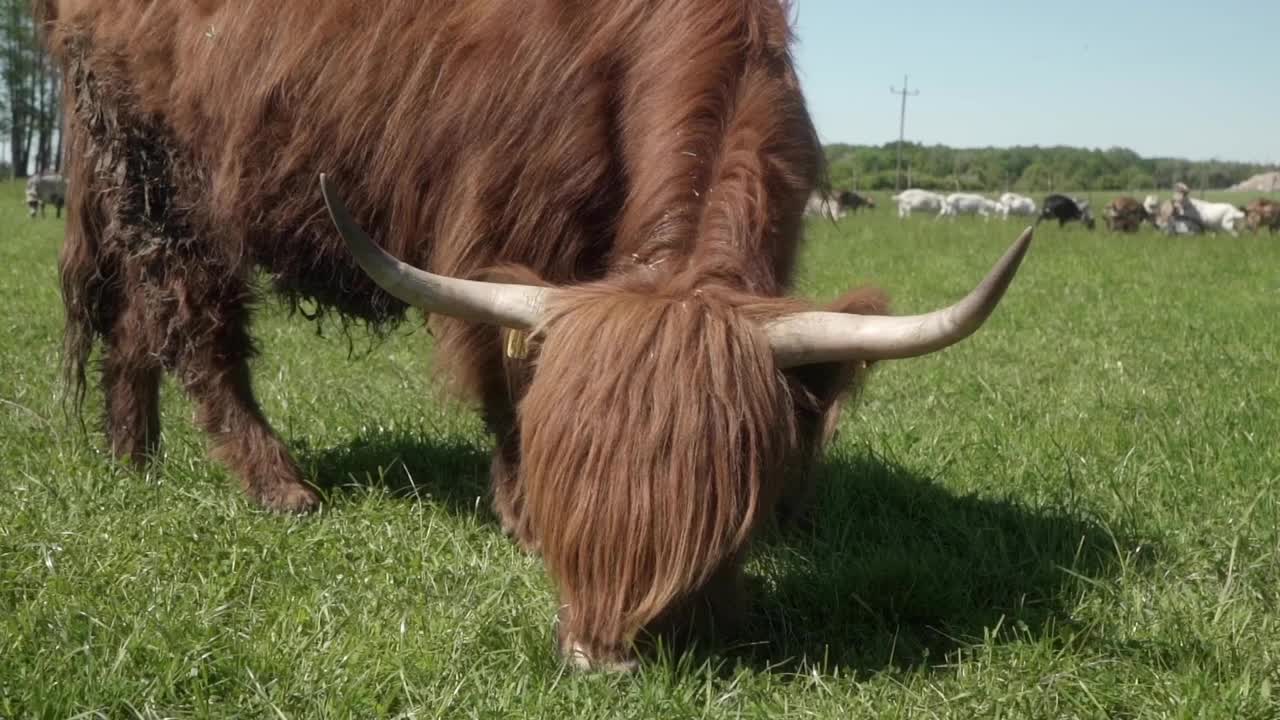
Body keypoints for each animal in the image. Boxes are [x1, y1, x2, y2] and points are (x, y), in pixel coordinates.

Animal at [35, 0, 1029, 666]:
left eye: (714, 520)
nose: (606, 655)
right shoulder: (501, 225)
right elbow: (503, 381)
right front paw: (515, 515)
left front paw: (790, 511)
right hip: (168, 169)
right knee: (194, 323)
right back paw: (279, 486)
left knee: (137, 325)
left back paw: (133, 456)